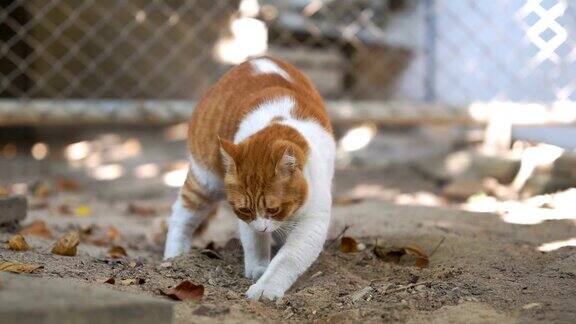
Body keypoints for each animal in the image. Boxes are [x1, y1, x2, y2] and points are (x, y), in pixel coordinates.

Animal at [162, 56, 336, 302]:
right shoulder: (250, 221)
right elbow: (254, 242)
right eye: (245, 210)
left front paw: (266, 287)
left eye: (274, 209)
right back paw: (176, 257)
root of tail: (256, 59)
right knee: (182, 215)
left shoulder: (313, 220)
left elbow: (288, 257)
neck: (279, 124)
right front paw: (259, 270)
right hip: (205, 180)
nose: (263, 228)